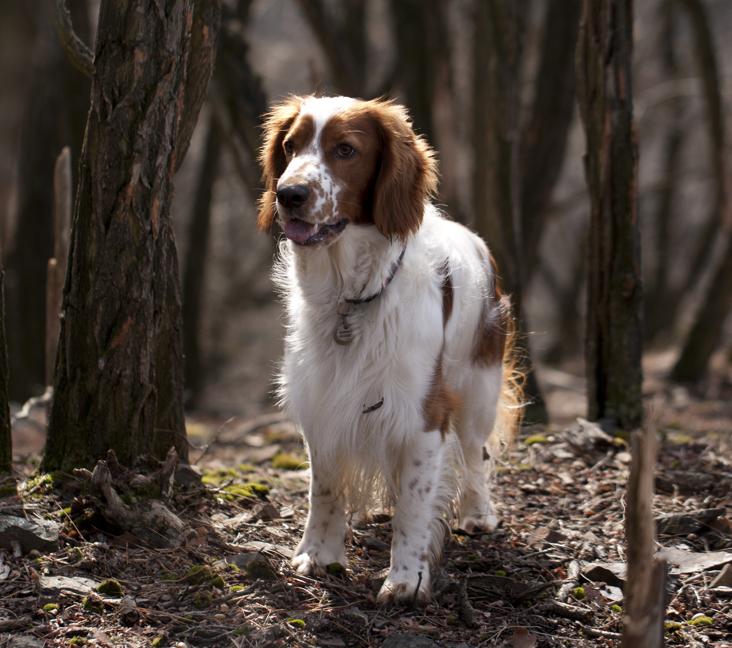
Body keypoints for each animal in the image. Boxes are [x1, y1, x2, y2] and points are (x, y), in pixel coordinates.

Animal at [258, 95, 520, 604]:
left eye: (345, 149)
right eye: (290, 146)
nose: (288, 193)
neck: (352, 297)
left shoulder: (424, 414)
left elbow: (415, 506)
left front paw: (407, 578)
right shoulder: (321, 401)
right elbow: (324, 489)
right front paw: (319, 554)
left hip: (478, 385)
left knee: (476, 453)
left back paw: (478, 513)